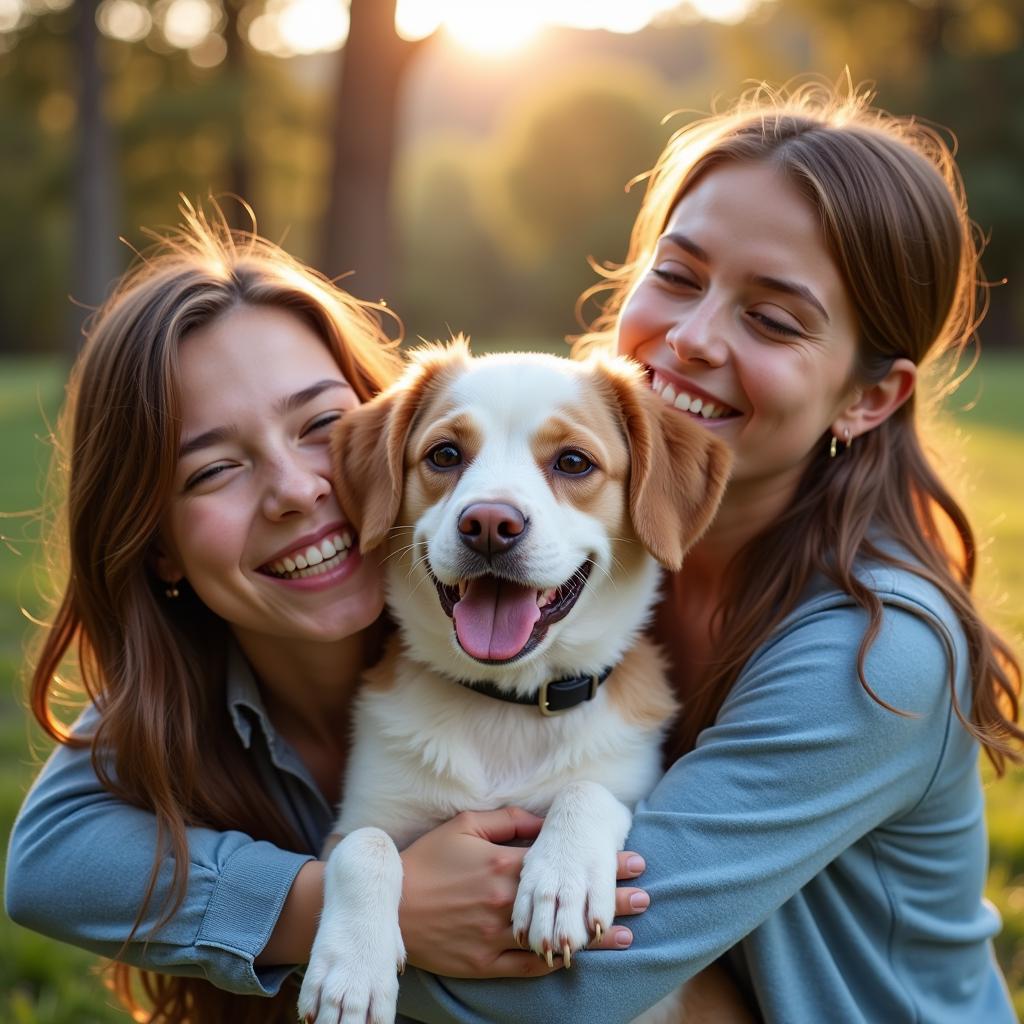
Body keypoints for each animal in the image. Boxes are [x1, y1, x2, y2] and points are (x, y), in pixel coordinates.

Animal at [299, 346, 733, 1024]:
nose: (488, 523)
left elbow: (588, 791)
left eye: (573, 462)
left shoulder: (637, 790)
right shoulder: (361, 818)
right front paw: (351, 972)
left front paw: (560, 881)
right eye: (444, 455)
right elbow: (365, 845)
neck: (507, 702)